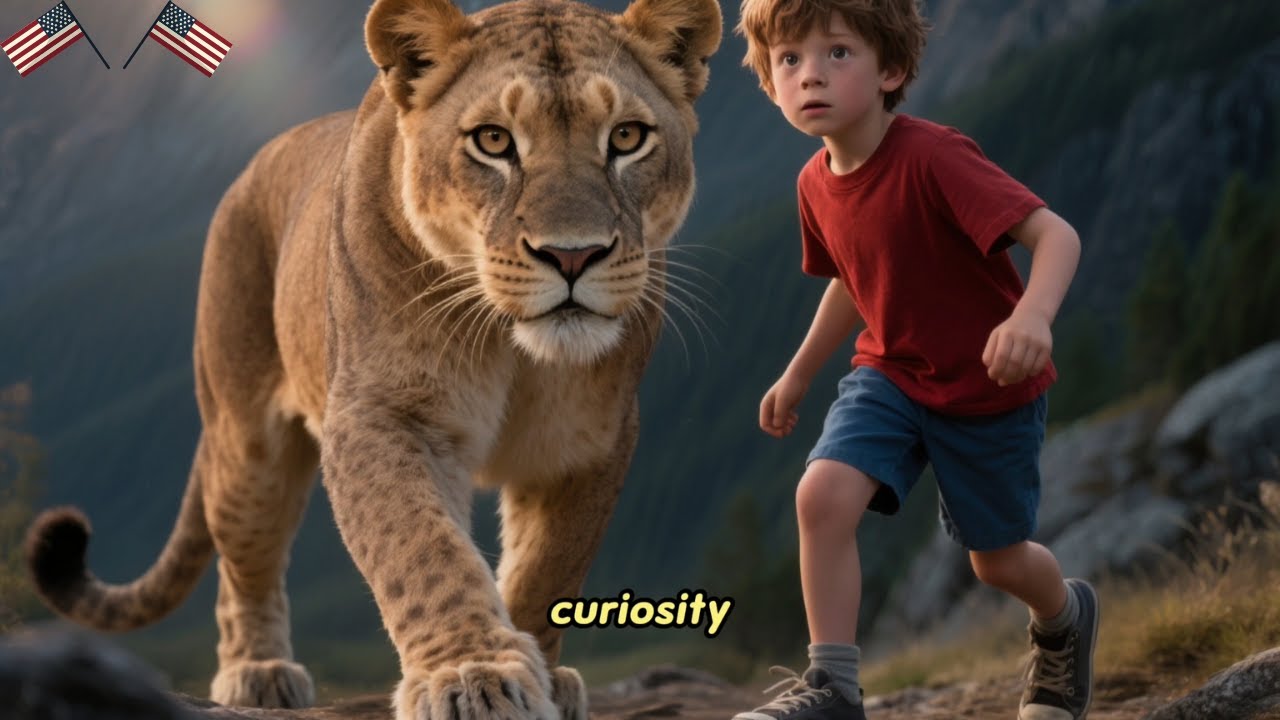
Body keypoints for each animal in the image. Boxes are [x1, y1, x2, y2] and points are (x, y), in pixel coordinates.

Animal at [22, 0, 722, 717]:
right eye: (493, 141)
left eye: (627, 137)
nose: (573, 255)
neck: (513, 346)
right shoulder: (382, 413)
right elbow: (421, 548)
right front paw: (474, 674)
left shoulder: (589, 440)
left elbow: (548, 564)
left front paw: (544, 675)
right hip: (246, 445)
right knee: (244, 561)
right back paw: (259, 671)